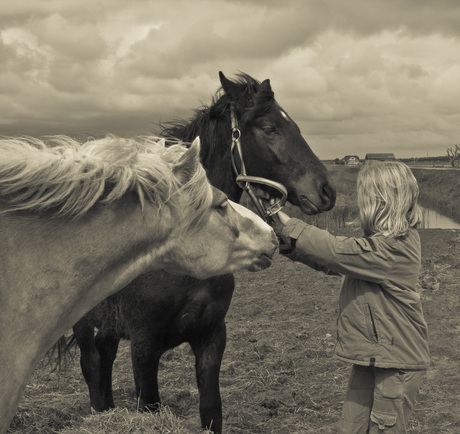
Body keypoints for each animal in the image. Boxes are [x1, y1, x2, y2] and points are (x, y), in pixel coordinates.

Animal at [73, 73, 336, 432]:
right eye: (270, 128)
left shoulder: (211, 337)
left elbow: (212, 409)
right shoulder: (145, 346)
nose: (327, 191)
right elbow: (150, 405)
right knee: (91, 366)